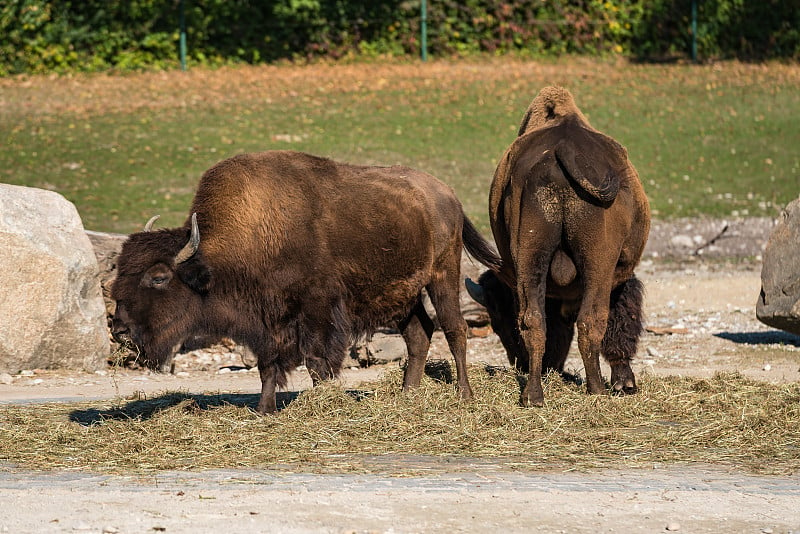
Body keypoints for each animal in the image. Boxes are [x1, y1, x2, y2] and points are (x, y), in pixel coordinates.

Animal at [111, 151, 500, 414]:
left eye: (159, 277)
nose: (119, 330)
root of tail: (447, 194)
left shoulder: (317, 311)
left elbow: (316, 359)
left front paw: (322, 400)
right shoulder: (268, 321)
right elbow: (268, 364)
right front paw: (265, 410)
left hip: (443, 275)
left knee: (454, 329)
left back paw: (464, 395)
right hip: (402, 293)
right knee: (419, 333)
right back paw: (408, 394)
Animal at [466, 86, 648, 408]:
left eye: (499, 320)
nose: (517, 363)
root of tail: (561, 149)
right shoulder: (621, 276)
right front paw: (625, 383)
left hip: (530, 255)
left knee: (534, 321)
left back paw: (533, 395)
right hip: (599, 263)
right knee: (591, 320)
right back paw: (596, 389)